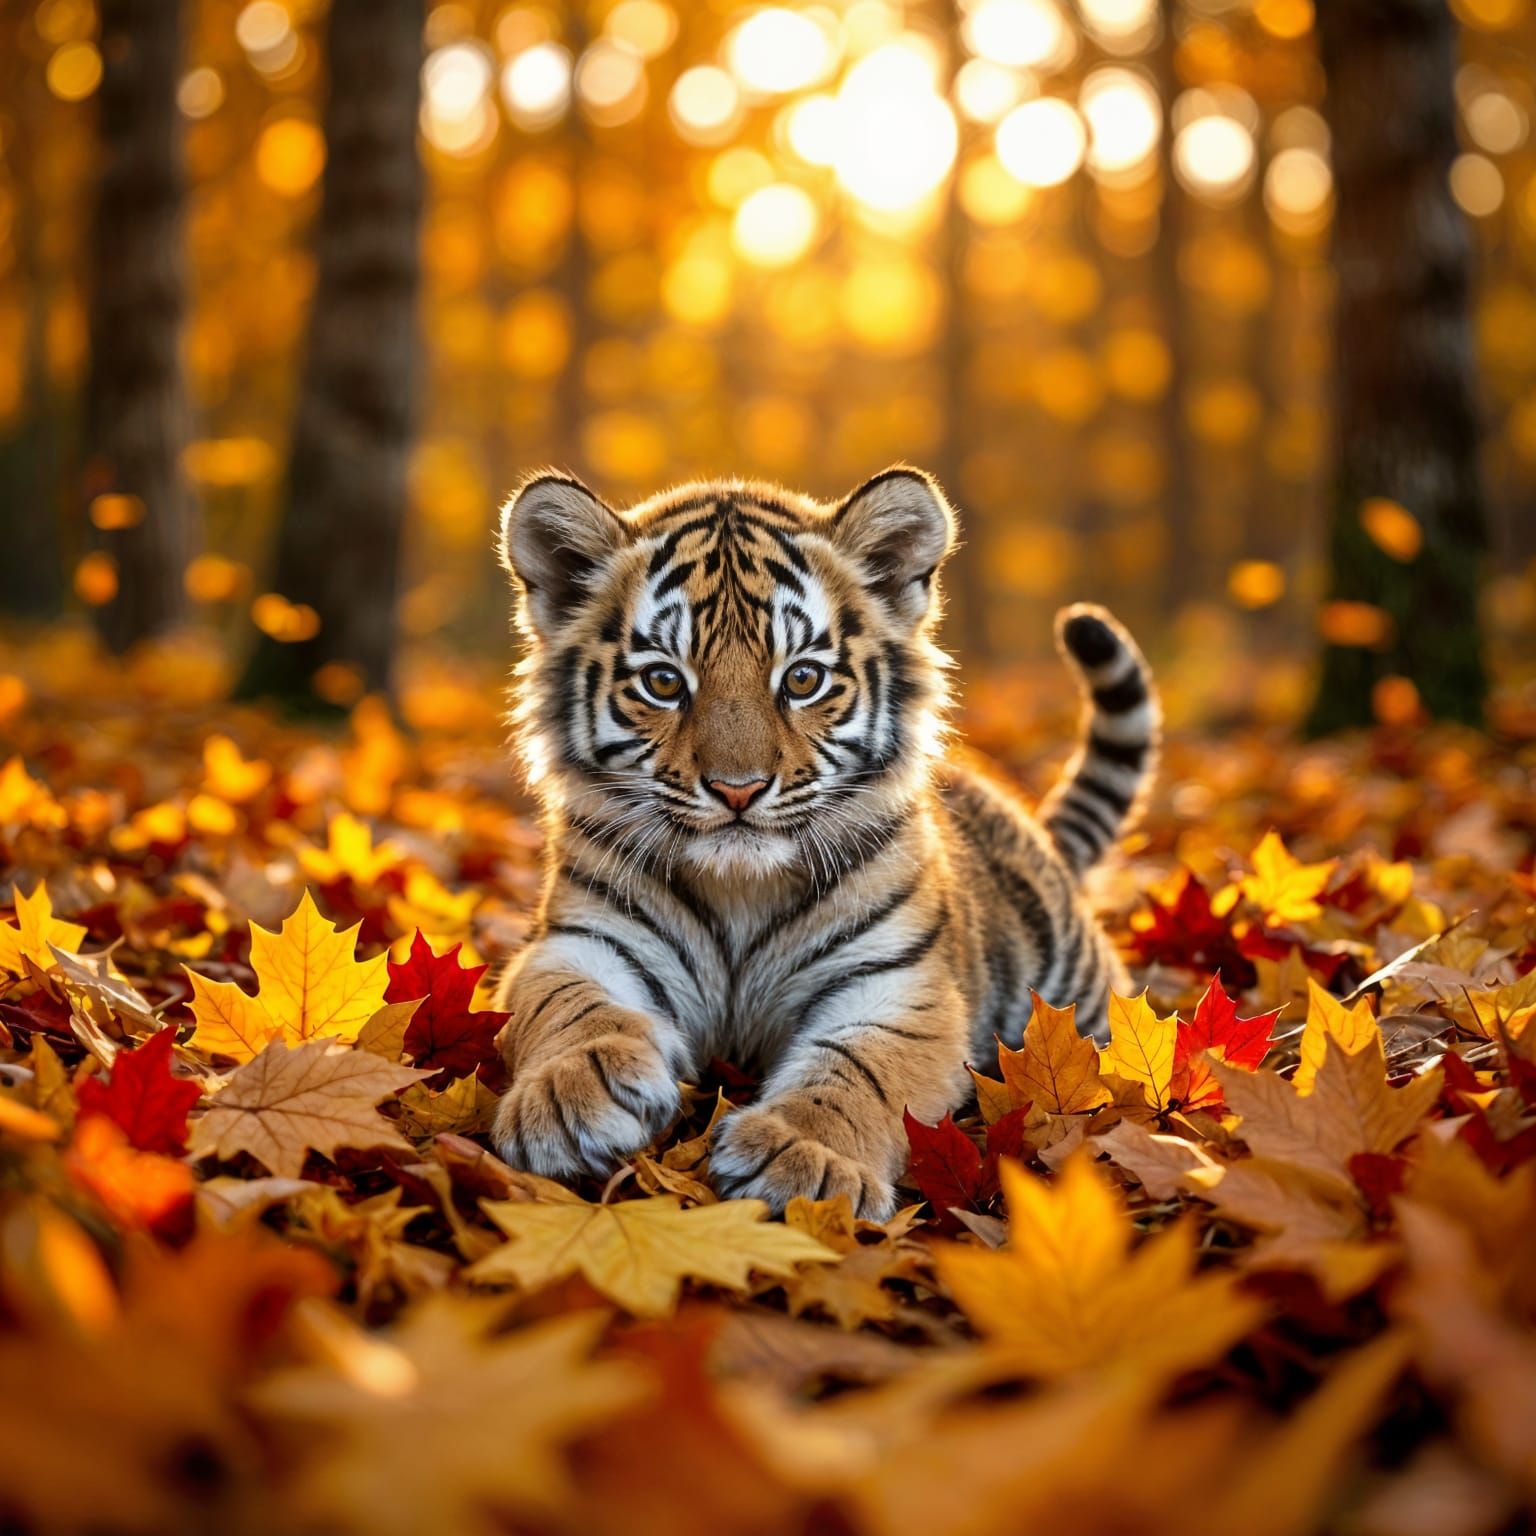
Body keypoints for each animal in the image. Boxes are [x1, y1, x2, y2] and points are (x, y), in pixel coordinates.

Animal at [490, 467, 1159, 1219]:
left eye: (802, 679)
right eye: (663, 682)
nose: (739, 790)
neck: (739, 893)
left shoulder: (898, 985)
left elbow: (859, 1069)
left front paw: (803, 1159)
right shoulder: (580, 941)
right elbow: (575, 1008)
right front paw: (569, 1097)